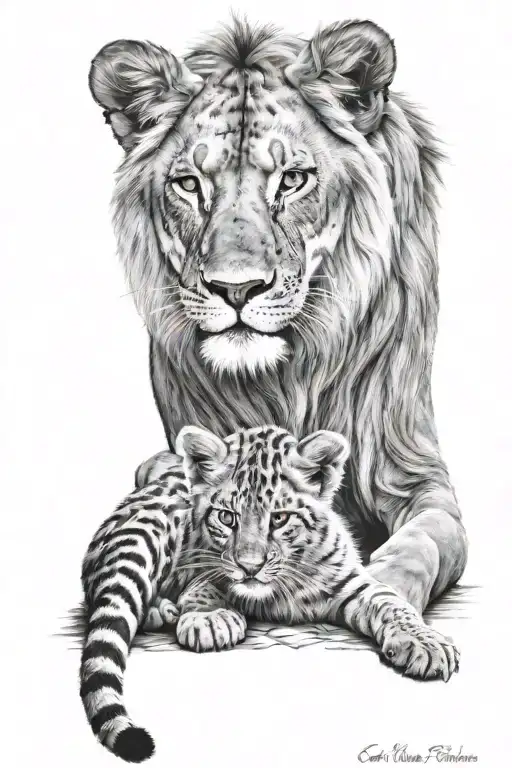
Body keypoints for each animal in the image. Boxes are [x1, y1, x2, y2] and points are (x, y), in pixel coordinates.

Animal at [88, 17, 468, 614]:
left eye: (292, 180)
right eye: (189, 184)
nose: (235, 288)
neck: (287, 377)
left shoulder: (415, 474)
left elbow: (428, 538)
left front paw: (385, 590)